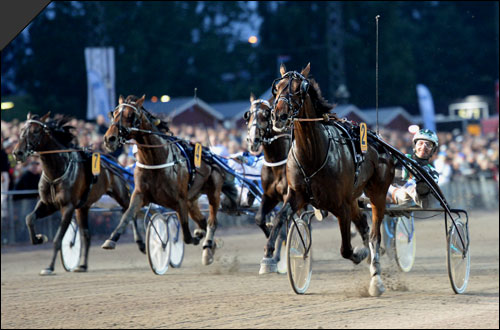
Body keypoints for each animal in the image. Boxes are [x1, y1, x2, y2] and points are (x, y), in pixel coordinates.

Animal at [12, 112, 145, 274]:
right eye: (22, 130)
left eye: (36, 130)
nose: (17, 152)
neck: (56, 172)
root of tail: (113, 162)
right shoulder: (47, 204)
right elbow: (29, 218)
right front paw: (39, 238)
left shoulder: (67, 207)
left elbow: (57, 239)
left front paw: (49, 267)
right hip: (83, 207)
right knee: (86, 235)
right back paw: (82, 265)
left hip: (120, 194)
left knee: (130, 211)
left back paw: (140, 243)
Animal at [103, 94, 229, 264]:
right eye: (114, 113)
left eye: (131, 115)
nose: (110, 138)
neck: (156, 161)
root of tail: (210, 153)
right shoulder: (140, 194)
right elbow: (127, 215)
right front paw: (111, 239)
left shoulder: (179, 200)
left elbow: (186, 235)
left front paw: (195, 238)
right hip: (192, 200)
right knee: (202, 220)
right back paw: (208, 244)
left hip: (213, 192)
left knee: (211, 222)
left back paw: (208, 246)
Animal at [268, 62, 396, 296]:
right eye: (277, 88)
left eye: (300, 89)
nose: (279, 115)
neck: (312, 154)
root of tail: (379, 140)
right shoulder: (297, 194)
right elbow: (279, 218)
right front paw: (269, 252)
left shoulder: (340, 206)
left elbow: (346, 249)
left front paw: (360, 254)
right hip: (354, 198)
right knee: (363, 225)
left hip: (378, 194)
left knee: (374, 234)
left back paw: (376, 277)